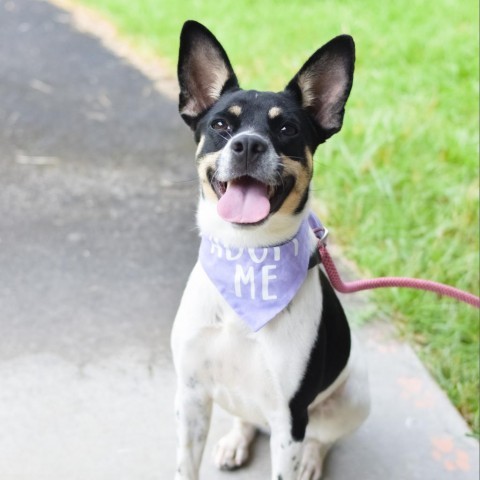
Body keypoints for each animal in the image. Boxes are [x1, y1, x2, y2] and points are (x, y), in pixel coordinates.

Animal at [172, 20, 372, 478]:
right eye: (221, 125)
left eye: (287, 129)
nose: (248, 144)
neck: (247, 259)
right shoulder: (190, 396)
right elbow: (185, 465)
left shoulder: (289, 417)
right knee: (246, 420)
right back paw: (236, 441)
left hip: (355, 395)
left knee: (322, 438)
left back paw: (311, 461)